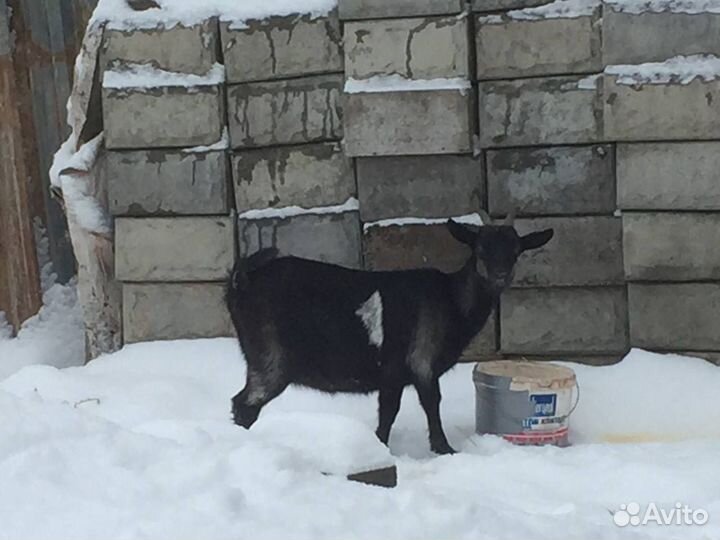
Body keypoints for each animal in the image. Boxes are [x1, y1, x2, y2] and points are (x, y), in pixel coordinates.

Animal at [225, 211, 554, 454]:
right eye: (480, 249)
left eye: (515, 252)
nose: (499, 277)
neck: (451, 300)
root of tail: (241, 280)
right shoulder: (420, 361)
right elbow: (428, 405)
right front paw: (443, 449)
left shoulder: (393, 375)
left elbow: (388, 411)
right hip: (270, 358)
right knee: (244, 404)